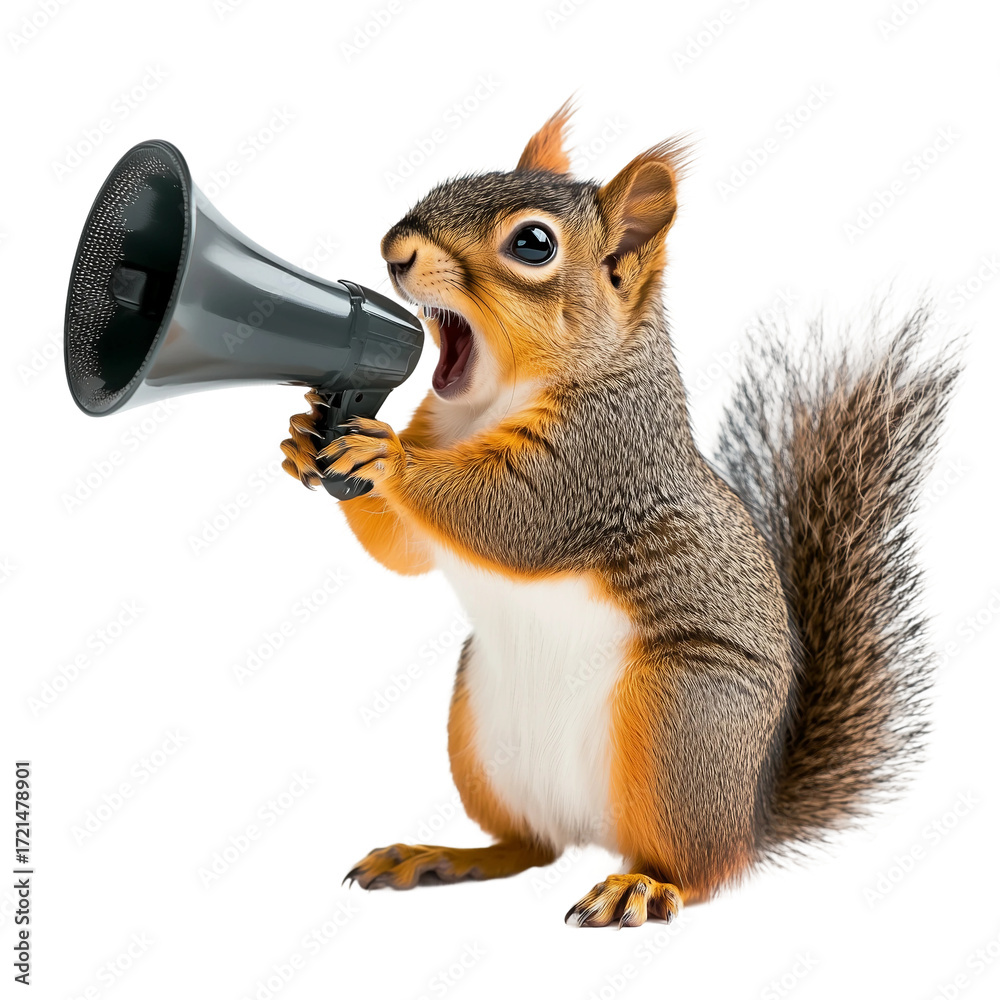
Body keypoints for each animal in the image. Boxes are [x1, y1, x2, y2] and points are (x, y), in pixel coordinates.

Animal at [280, 102, 959, 928]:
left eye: (532, 243)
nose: (395, 250)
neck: (489, 400)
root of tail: (750, 811)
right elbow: (404, 551)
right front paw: (304, 436)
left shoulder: (598, 462)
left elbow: (506, 517)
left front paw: (388, 460)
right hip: (482, 732)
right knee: (531, 846)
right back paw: (443, 856)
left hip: (680, 720)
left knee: (704, 870)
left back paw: (643, 886)